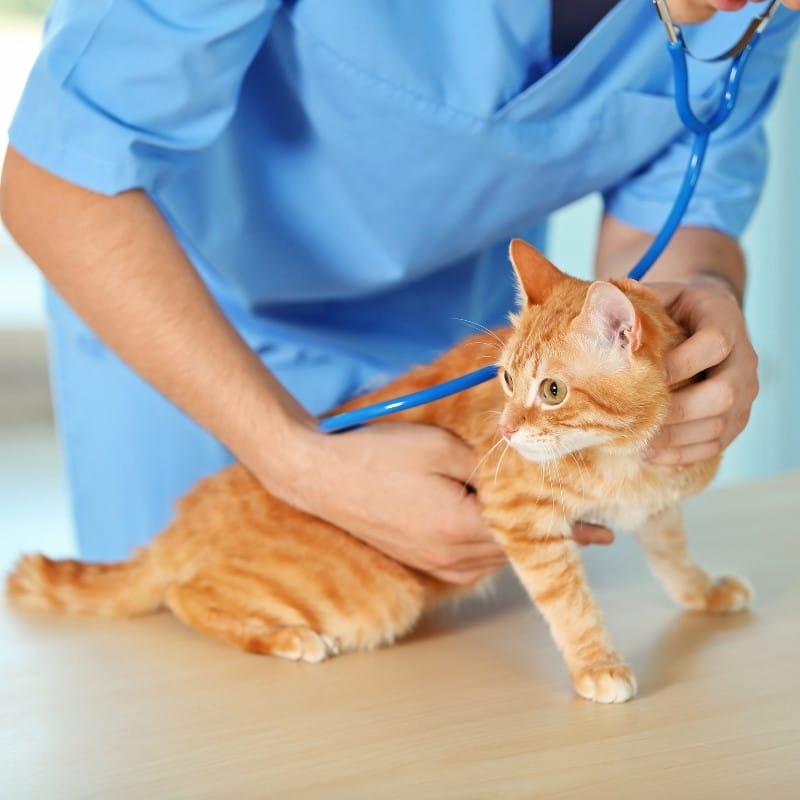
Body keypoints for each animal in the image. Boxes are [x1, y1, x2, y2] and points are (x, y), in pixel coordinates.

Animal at [4, 241, 752, 704]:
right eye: (507, 380)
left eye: (552, 391)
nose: (506, 430)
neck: (623, 460)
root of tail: (187, 517)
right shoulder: (521, 519)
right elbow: (570, 603)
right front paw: (597, 665)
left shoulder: (660, 504)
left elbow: (672, 556)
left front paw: (702, 592)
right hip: (377, 594)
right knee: (185, 594)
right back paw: (287, 636)